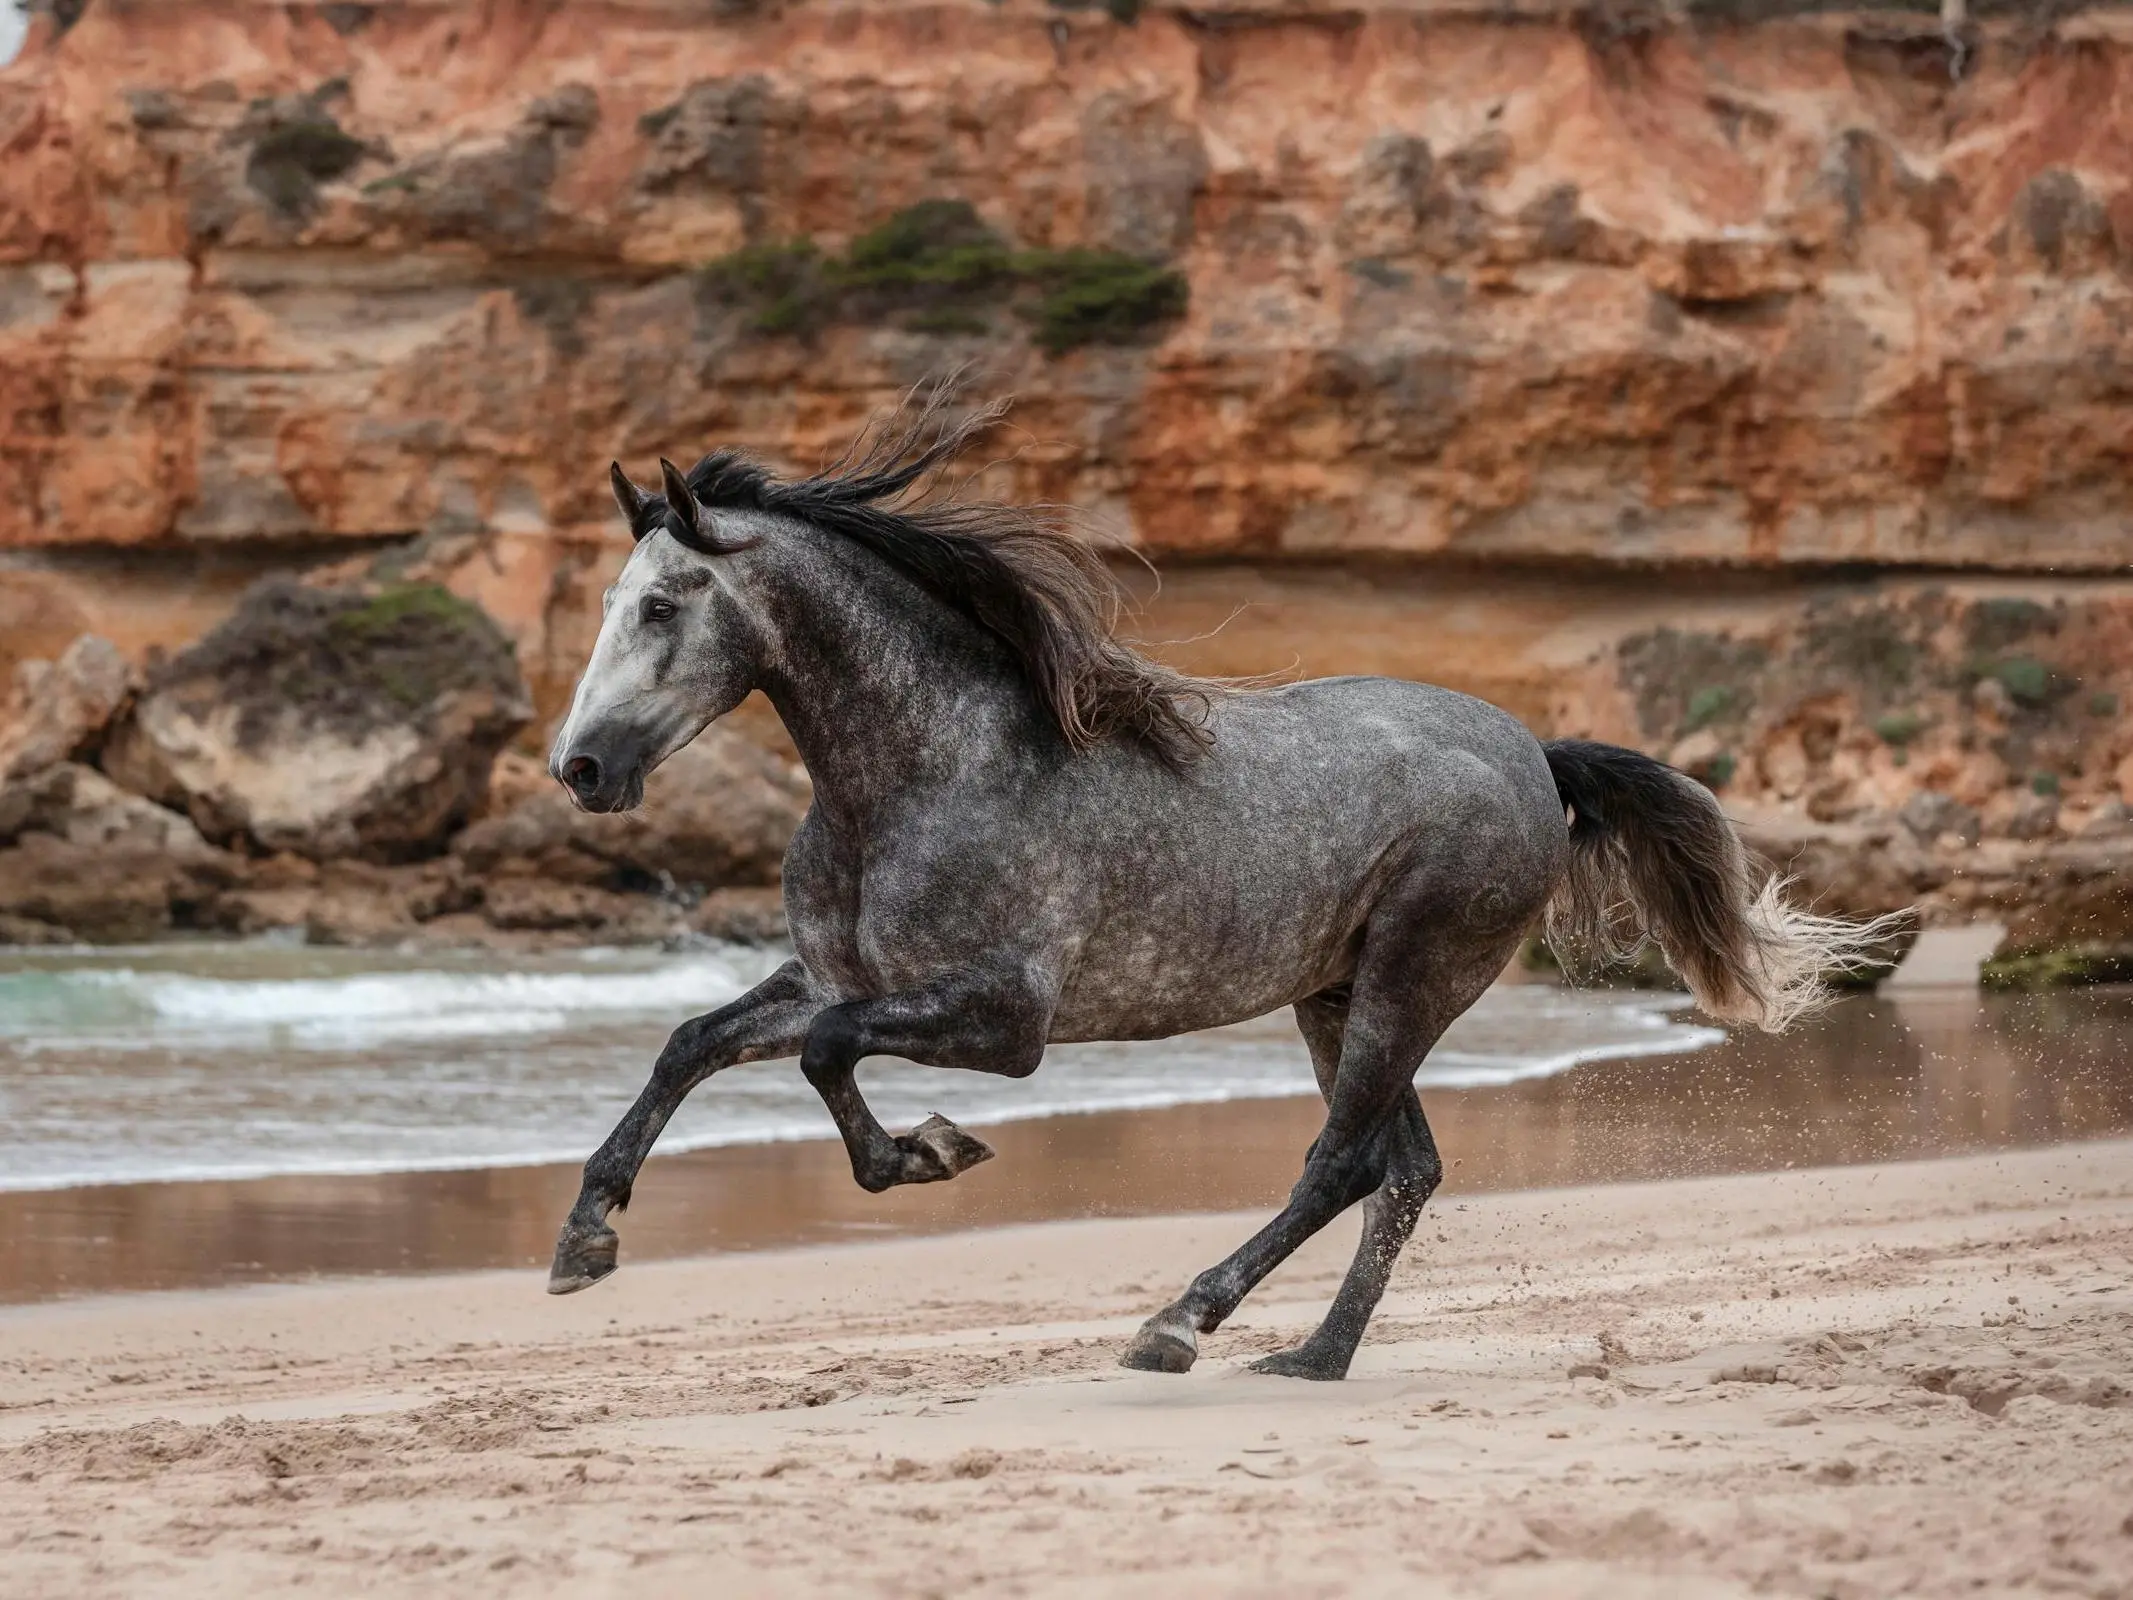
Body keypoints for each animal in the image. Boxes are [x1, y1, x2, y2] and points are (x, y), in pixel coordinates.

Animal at [537, 388, 1885, 1382]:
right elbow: (697, 1039)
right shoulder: (836, 972)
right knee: (1403, 1171)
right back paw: (1313, 1357)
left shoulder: (1004, 1018)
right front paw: (585, 1238)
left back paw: (1180, 1323)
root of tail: (1533, 753)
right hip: (1336, 994)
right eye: (607, 599)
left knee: (1342, 1163)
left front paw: (928, 1152)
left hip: (1410, 980)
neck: (922, 768)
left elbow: (824, 1053)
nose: (581, 766)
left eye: (663, 603)